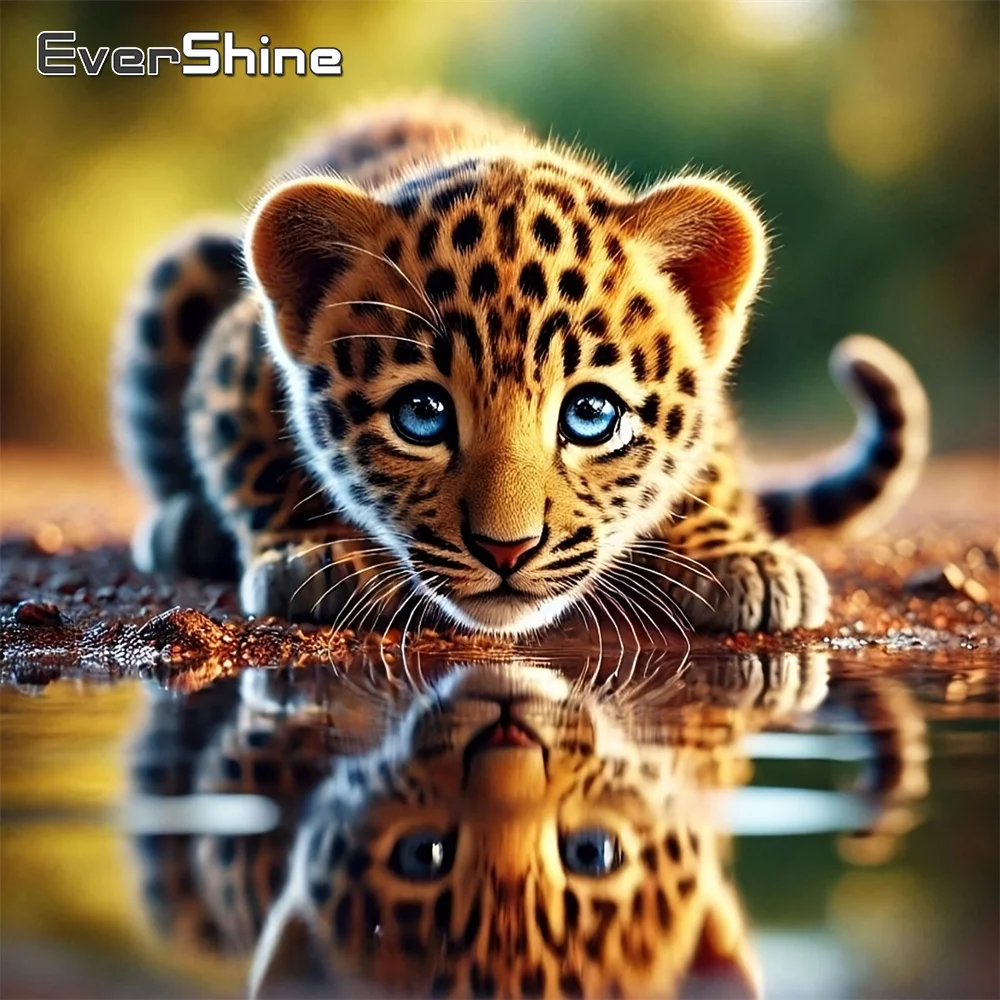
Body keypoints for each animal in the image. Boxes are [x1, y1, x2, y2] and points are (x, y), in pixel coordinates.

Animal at [113, 94, 930, 636]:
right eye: (422, 414)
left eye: (591, 415)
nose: (506, 549)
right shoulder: (235, 358)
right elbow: (255, 463)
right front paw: (317, 554)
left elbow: (709, 461)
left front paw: (740, 558)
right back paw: (186, 528)